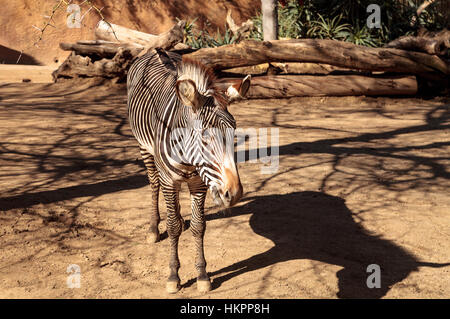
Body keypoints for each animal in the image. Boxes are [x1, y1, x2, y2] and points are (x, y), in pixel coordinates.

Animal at [126, 48, 251, 294]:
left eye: (234, 134)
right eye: (205, 137)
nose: (233, 194)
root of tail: (154, 50)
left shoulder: (198, 183)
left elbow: (198, 226)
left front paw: (202, 275)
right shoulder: (169, 179)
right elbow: (173, 227)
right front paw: (173, 276)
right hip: (144, 149)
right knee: (153, 184)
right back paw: (153, 229)